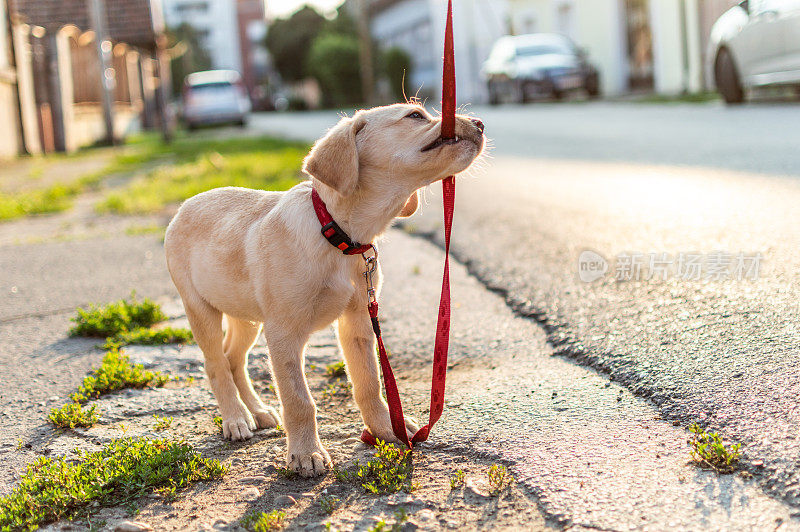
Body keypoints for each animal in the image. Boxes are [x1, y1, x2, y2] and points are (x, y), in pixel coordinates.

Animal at [164, 104, 482, 478]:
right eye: (415, 115)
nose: (479, 123)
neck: (338, 235)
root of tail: (185, 204)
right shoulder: (283, 332)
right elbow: (299, 400)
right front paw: (306, 454)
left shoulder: (357, 322)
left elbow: (370, 384)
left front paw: (387, 429)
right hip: (202, 310)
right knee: (215, 363)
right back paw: (236, 419)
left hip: (247, 317)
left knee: (233, 359)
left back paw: (257, 411)